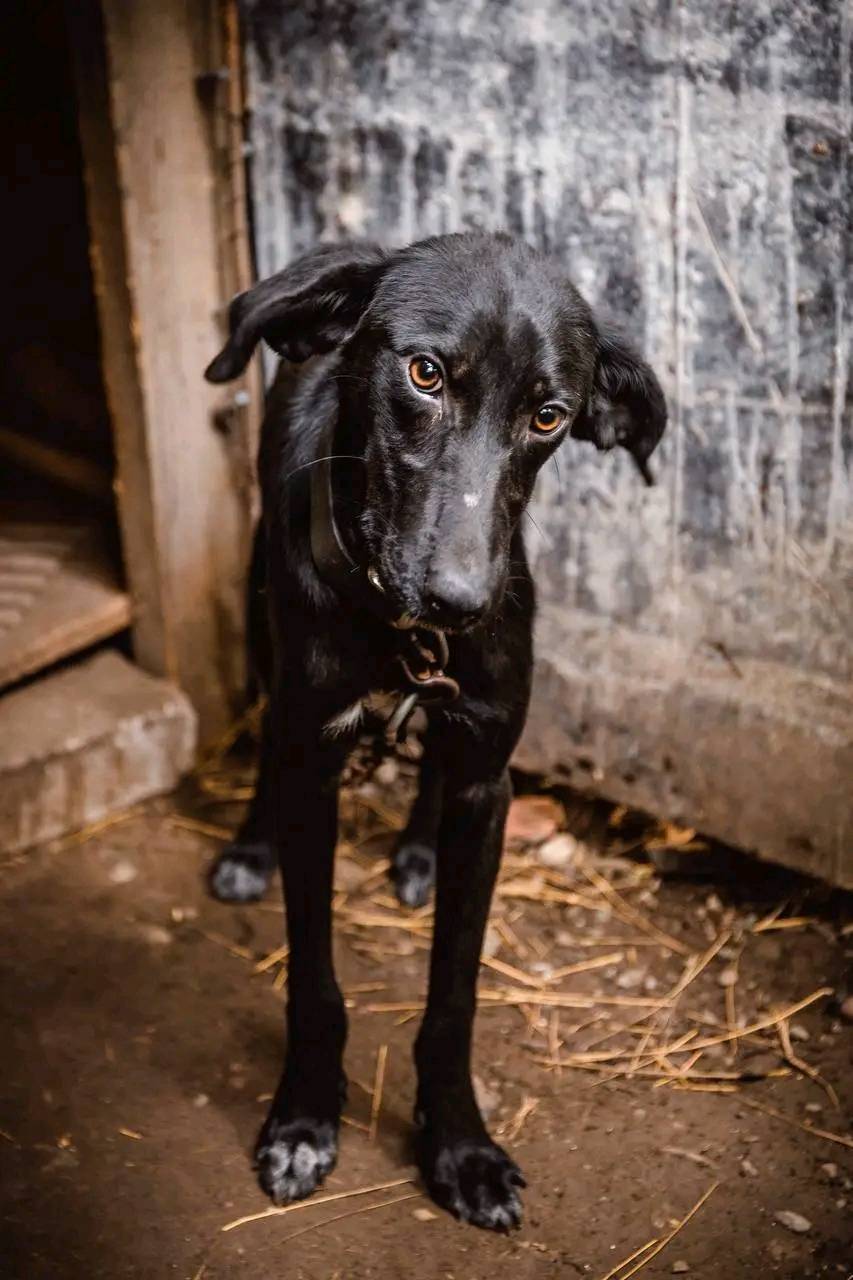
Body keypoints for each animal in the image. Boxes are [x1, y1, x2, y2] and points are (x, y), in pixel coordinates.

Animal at [204, 235, 666, 1233]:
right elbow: (314, 982)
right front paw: (304, 1117)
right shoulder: (313, 765)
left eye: (547, 415)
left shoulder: (487, 778)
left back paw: (416, 853)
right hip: (260, 623)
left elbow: (453, 996)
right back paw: (250, 848)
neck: (399, 632)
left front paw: (458, 1146)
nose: (460, 601)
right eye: (423, 374)